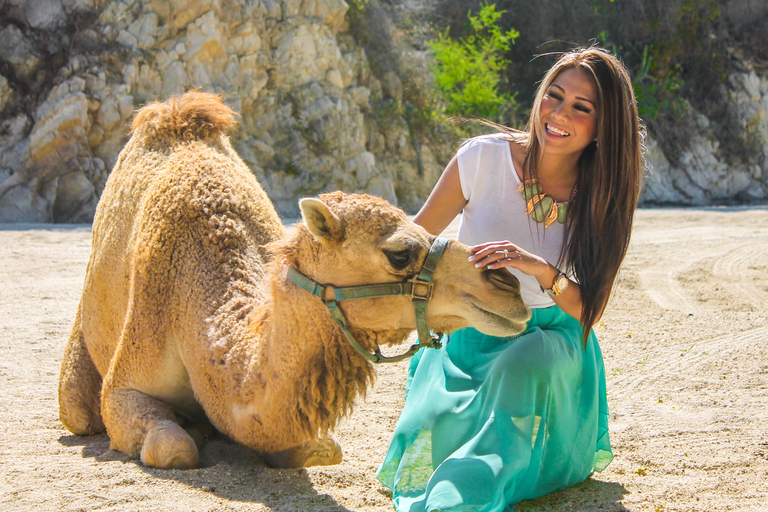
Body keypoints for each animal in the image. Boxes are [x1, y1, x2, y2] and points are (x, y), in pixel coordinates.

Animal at [57, 91, 531, 470]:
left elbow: (319, 448)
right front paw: (190, 435)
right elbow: (173, 447)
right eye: (400, 253)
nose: (508, 287)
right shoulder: (126, 380)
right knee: (77, 409)